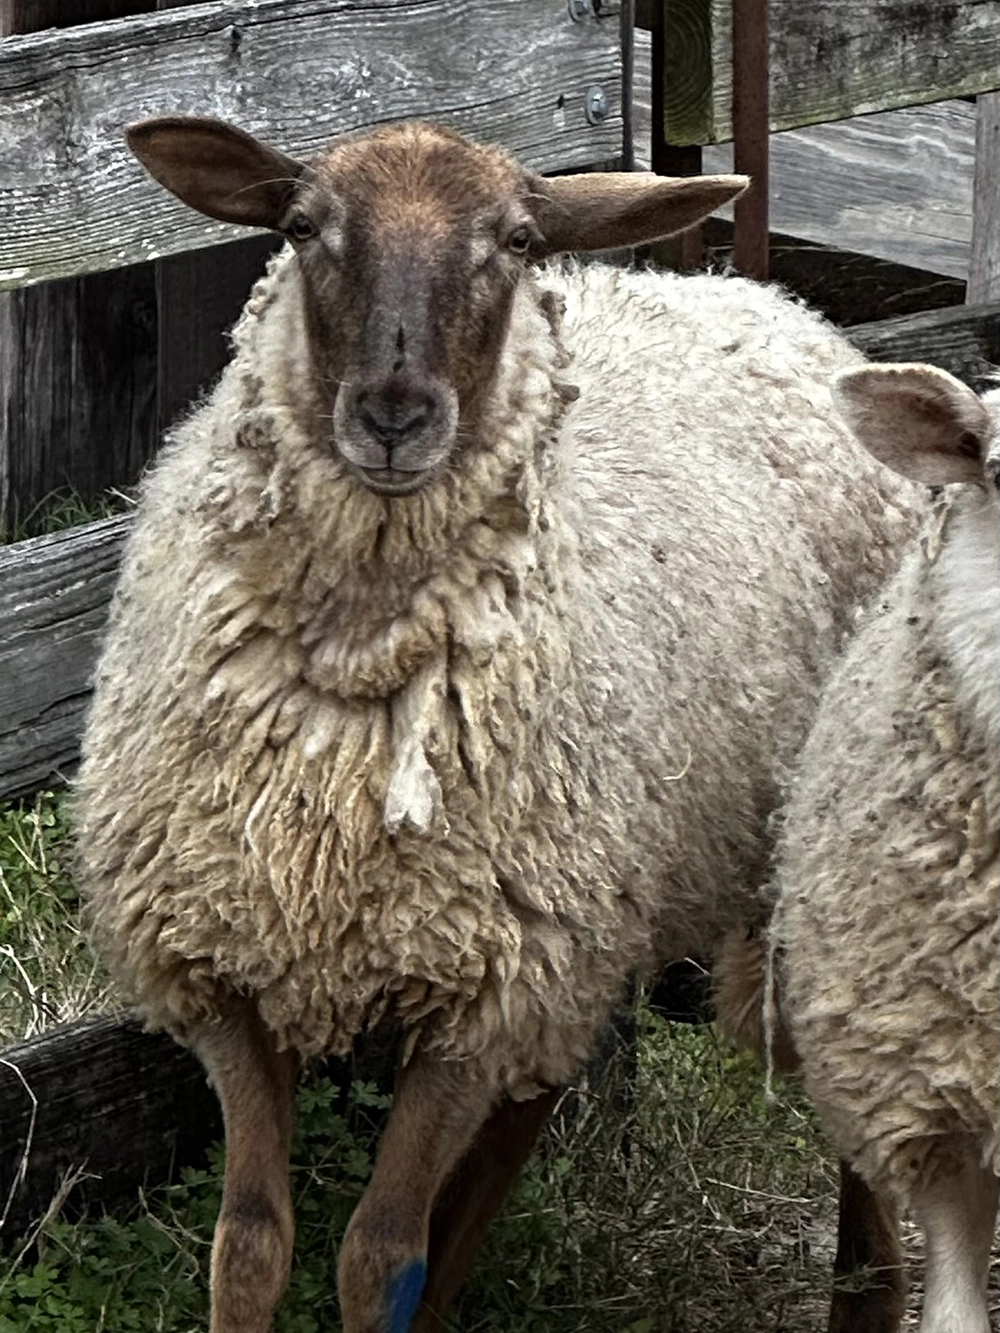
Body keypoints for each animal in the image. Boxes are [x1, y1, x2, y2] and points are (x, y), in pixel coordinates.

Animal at [73, 115, 922, 1333]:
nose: (393, 414)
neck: (353, 683)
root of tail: (753, 294)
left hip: (804, 861)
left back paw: (867, 1286)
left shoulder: (479, 995)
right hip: (586, 916)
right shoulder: (228, 967)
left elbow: (375, 1253)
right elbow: (250, 1244)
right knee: (536, 1100)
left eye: (516, 241)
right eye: (303, 226)